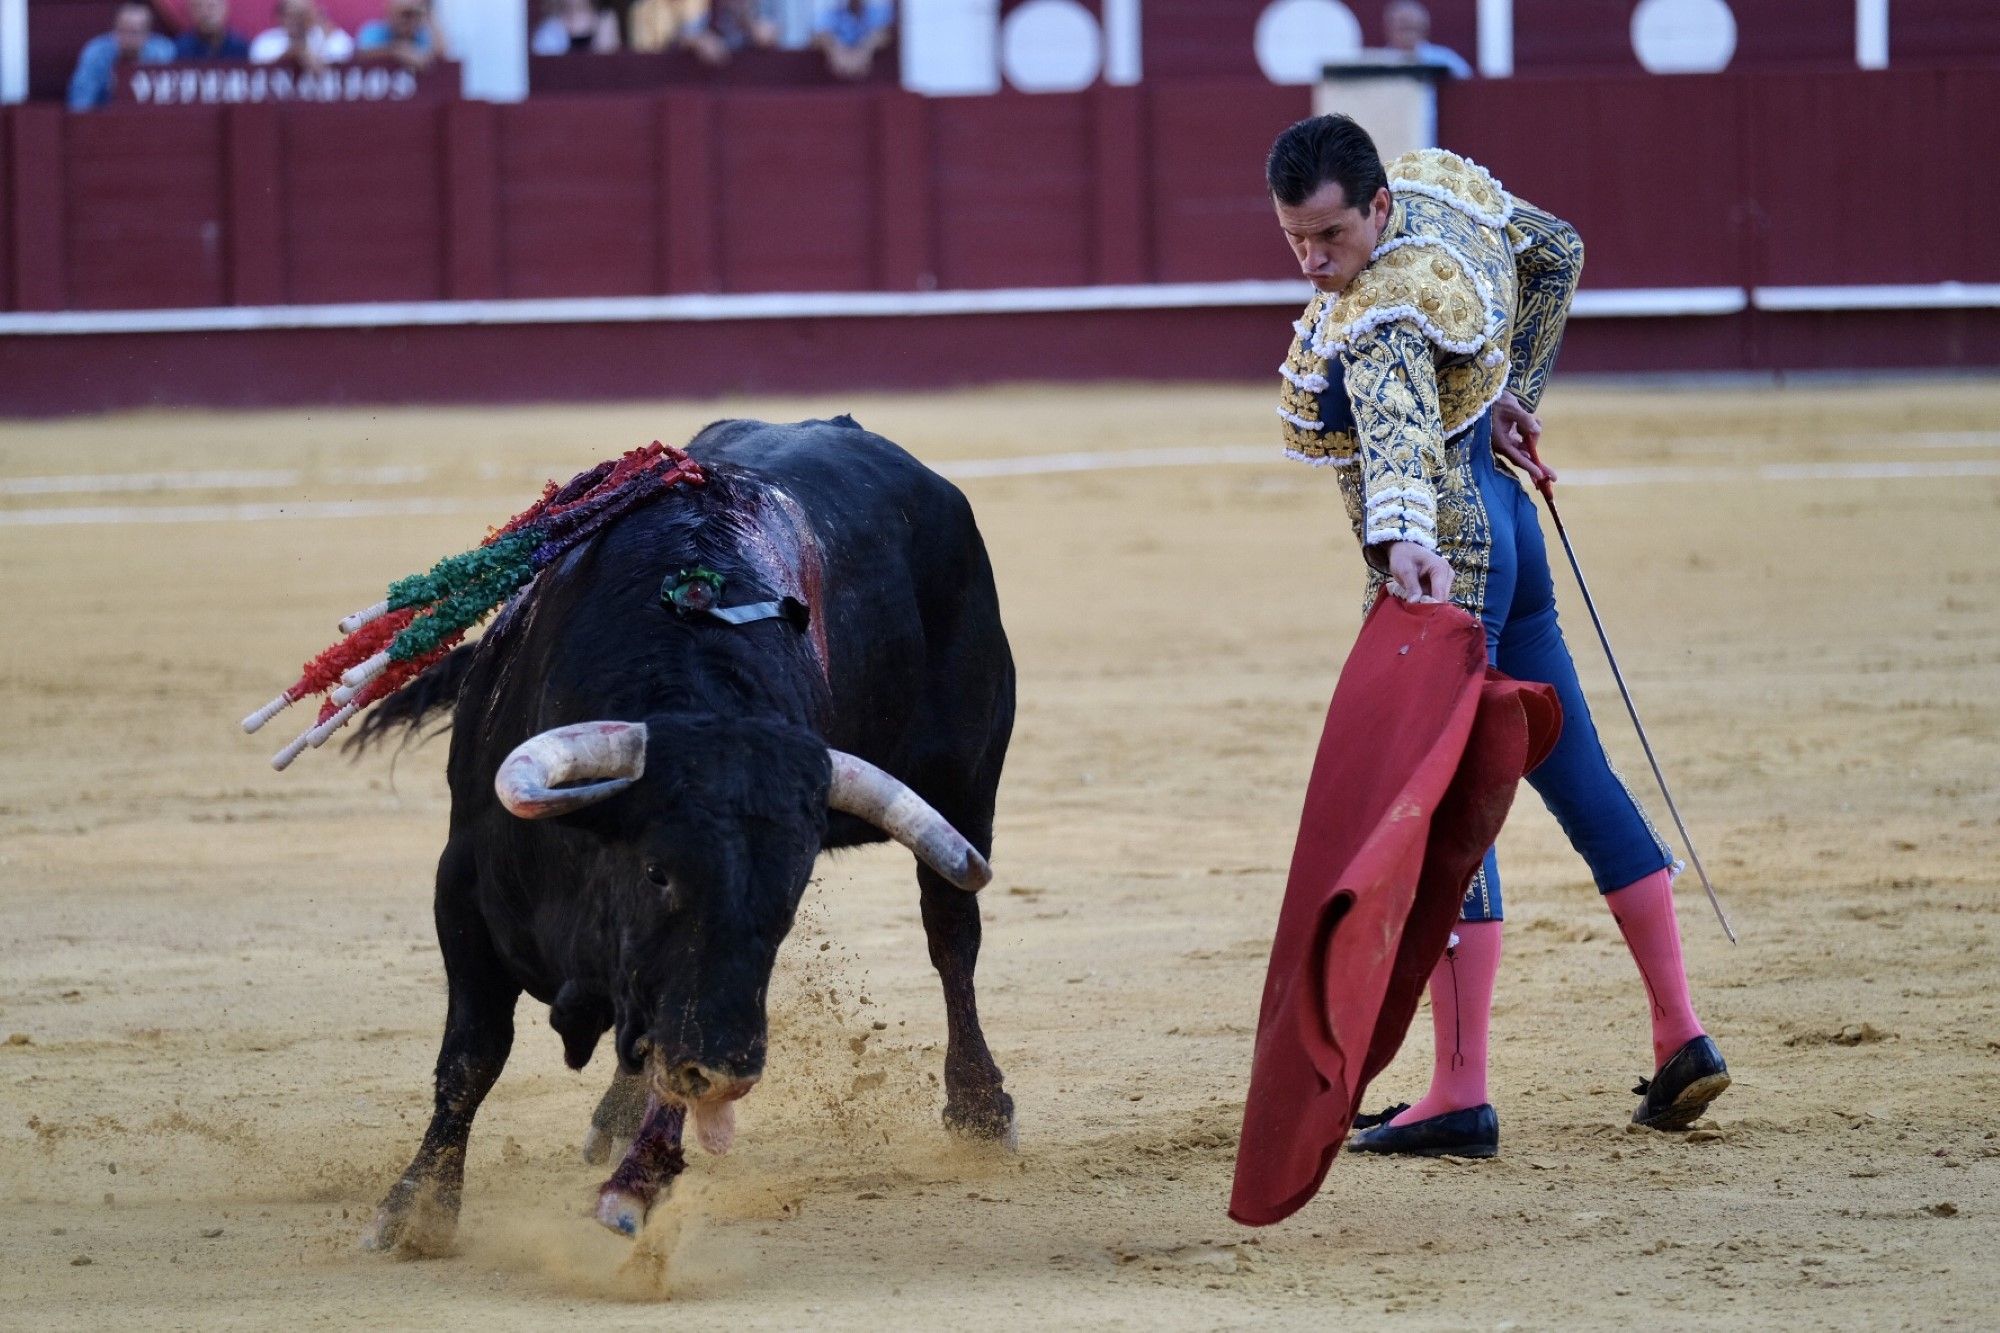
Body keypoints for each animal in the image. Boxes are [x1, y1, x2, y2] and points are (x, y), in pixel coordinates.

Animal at [352, 416, 1016, 1248]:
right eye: (657, 871)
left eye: (788, 896)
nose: (732, 1068)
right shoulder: (461, 888)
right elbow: (473, 1053)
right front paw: (413, 1210)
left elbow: (666, 1046)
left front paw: (634, 1186)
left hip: (965, 785)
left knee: (951, 933)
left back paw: (981, 1107)